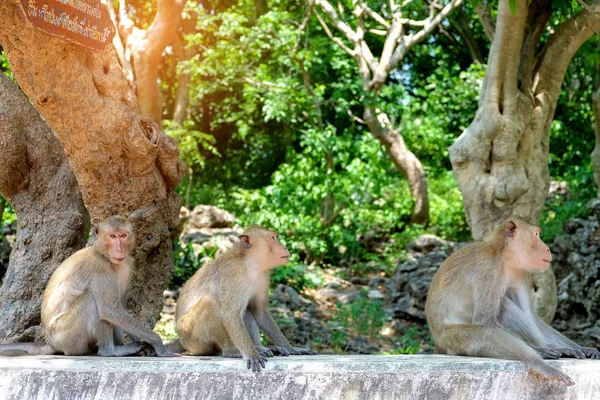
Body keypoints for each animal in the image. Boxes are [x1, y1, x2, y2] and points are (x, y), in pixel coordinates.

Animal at [0, 216, 177, 356]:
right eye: (112, 236)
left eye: (123, 235)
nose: (119, 249)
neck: (104, 255)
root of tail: (50, 342)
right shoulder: (101, 269)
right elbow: (109, 310)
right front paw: (158, 344)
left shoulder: (127, 266)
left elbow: (119, 308)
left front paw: (146, 344)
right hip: (66, 336)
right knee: (92, 300)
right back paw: (111, 351)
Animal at [175, 225, 318, 372]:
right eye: (273, 238)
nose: (285, 247)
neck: (250, 265)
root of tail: (181, 340)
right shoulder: (234, 274)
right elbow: (230, 315)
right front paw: (251, 354)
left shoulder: (263, 277)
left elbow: (259, 312)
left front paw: (292, 348)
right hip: (191, 337)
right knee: (210, 304)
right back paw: (234, 351)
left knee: (247, 310)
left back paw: (260, 347)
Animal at [424, 217, 596, 386]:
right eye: (536, 234)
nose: (547, 249)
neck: (504, 258)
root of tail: (437, 341)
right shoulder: (490, 271)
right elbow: (485, 323)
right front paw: (540, 353)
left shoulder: (520, 272)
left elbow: (529, 314)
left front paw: (577, 347)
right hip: (450, 338)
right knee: (490, 325)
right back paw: (538, 362)